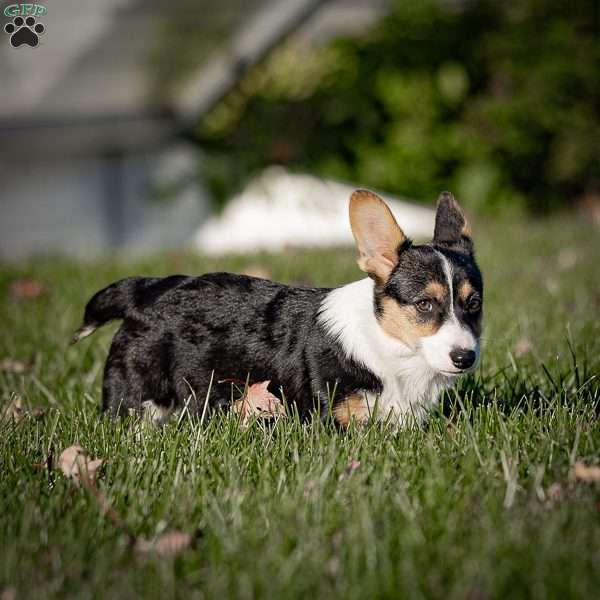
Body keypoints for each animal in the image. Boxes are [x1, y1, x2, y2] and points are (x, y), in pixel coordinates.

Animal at [71, 191, 482, 426]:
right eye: (424, 304)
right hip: (139, 394)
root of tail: (146, 290)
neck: (387, 345)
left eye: (474, 303)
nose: (465, 358)